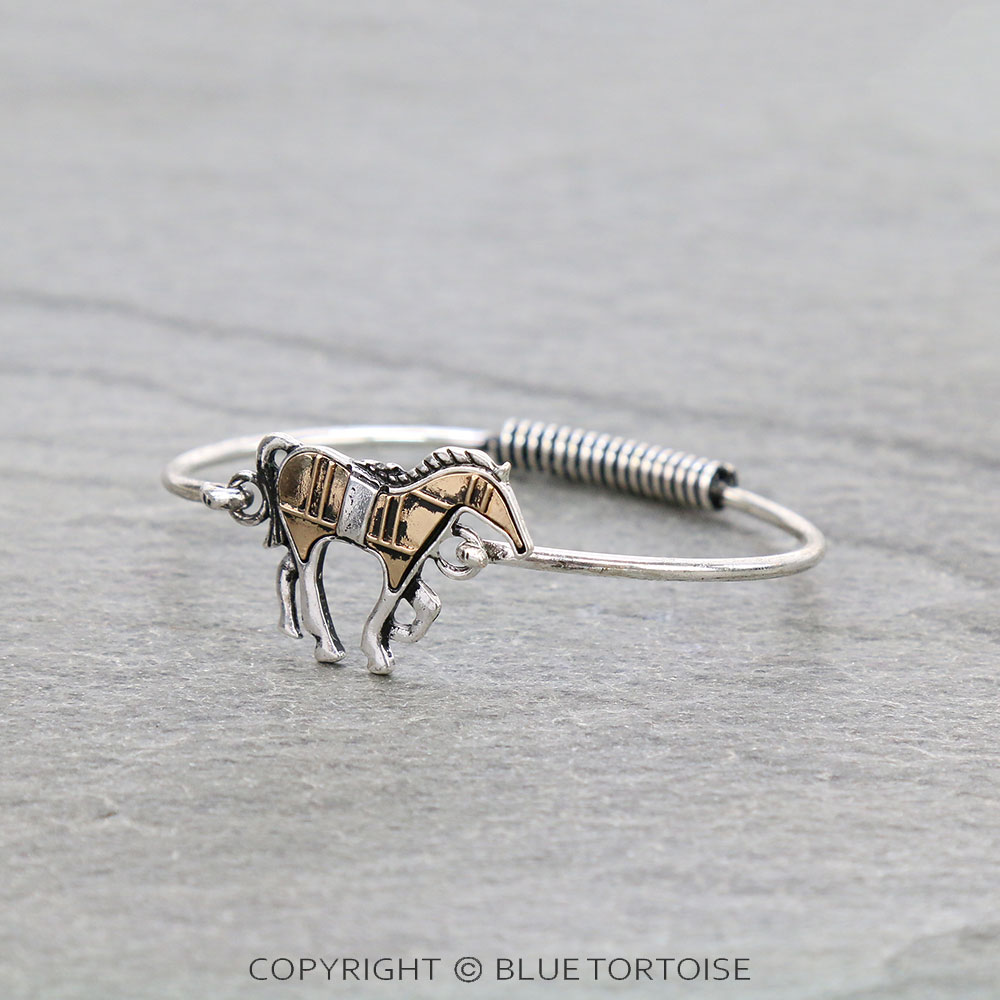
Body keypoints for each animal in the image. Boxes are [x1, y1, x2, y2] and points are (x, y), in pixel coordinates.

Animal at [254, 434, 532, 674]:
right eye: (501, 500)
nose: (523, 547)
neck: (419, 504)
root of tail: (294, 448)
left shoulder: (411, 567)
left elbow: (429, 606)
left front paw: (398, 632)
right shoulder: (396, 569)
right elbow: (385, 610)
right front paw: (378, 655)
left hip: (303, 538)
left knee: (287, 569)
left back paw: (292, 628)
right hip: (305, 536)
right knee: (308, 580)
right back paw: (328, 647)